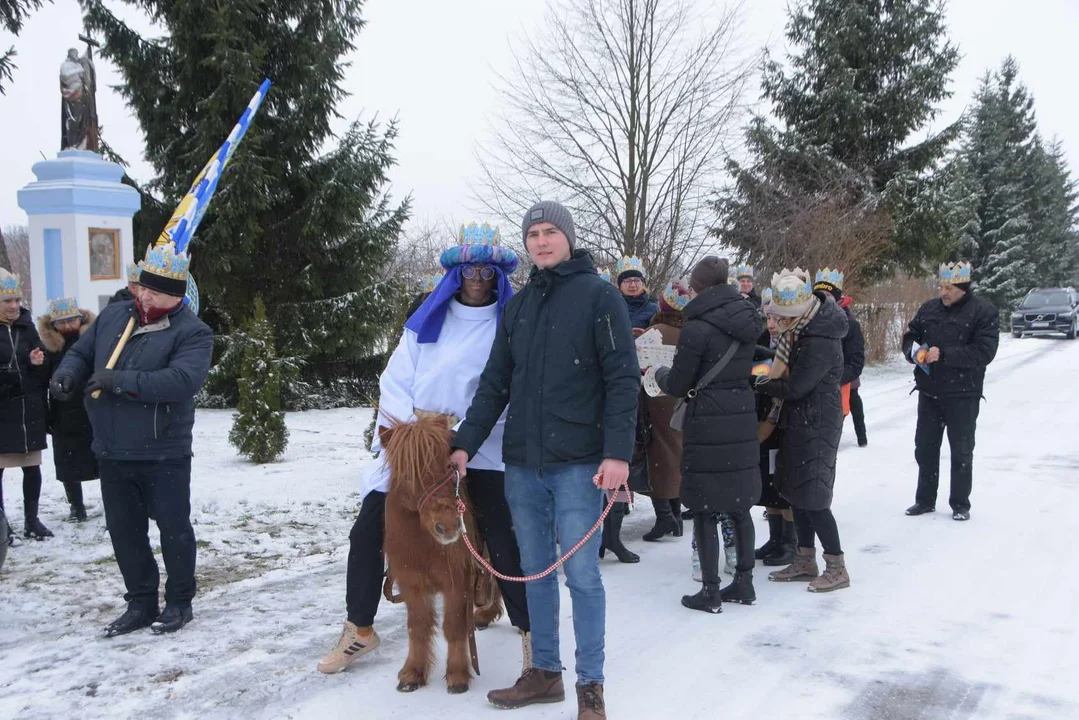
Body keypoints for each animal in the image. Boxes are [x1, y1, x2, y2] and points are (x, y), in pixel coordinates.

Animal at [379, 418, 500, 695]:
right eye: (408, 474)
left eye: (448, 467)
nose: (449, 526)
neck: (426, 546)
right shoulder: (412, 584)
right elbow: (417, 627)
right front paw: (412, 673)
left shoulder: (457, 582)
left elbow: (453, 627)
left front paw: (457, 675)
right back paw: (485, 615)